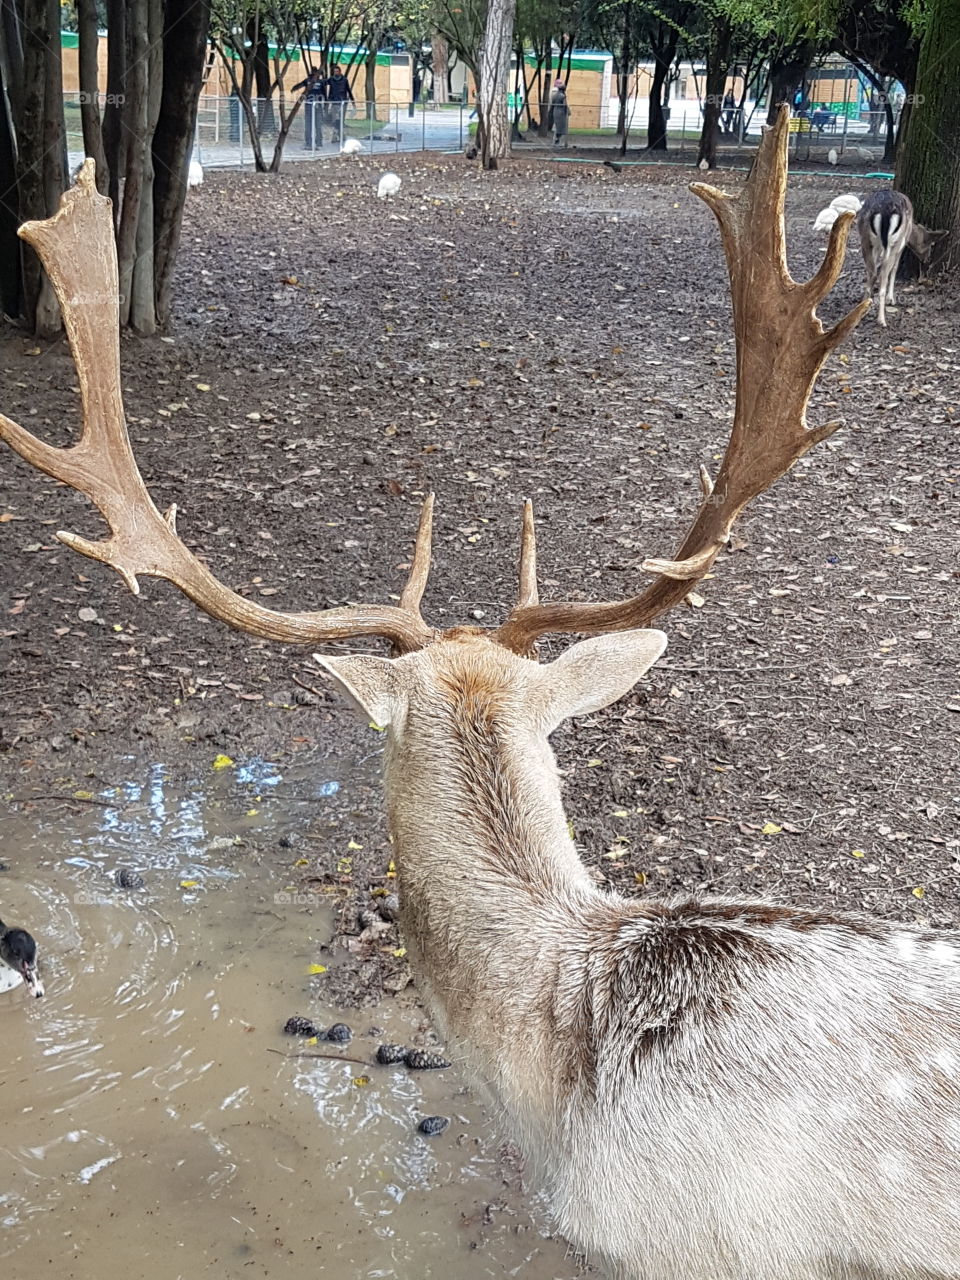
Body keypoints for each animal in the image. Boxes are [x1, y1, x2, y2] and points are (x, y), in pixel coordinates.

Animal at [856, 189, 947, 327]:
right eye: (931, 245)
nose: (927, 260)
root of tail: (885, 211)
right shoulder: (901, 245)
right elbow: (894, 268)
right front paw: (891, 298)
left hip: (865, 239)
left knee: (873, 273)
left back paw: (862, 309)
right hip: (894, 243)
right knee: (882, 273)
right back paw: (881, 319)